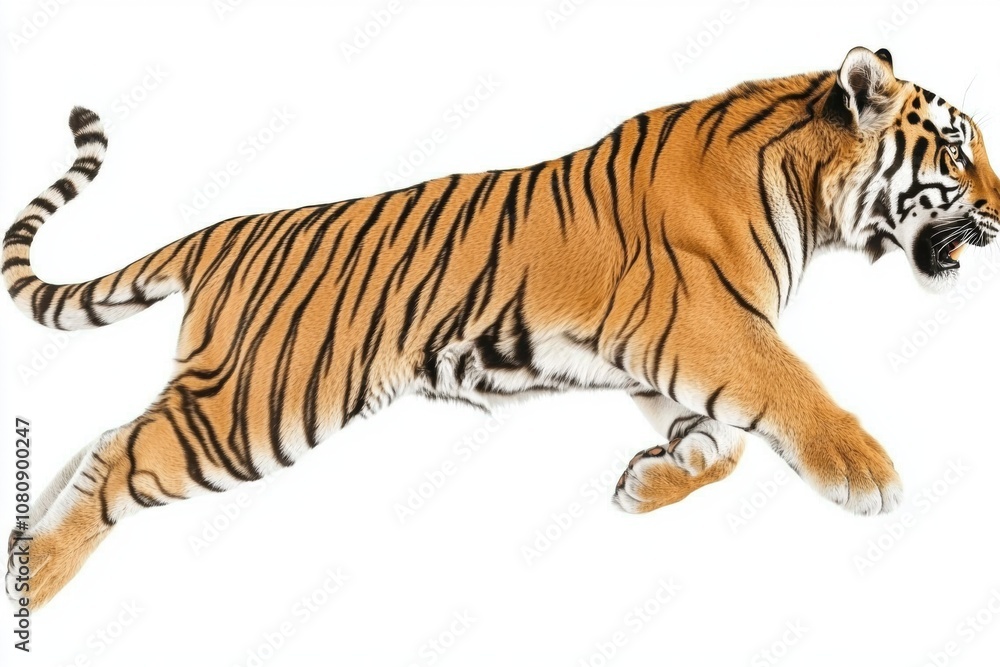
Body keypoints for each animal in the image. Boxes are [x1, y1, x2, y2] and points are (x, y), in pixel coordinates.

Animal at [5, 46, 999, 610]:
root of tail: (226, 229)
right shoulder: (713, 323)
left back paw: (22, 544)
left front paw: (647, 484)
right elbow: (793, 390)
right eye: (957, 152)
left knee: (104, 438)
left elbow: (724, 442)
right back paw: (35, 580)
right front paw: (867, 474)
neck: (806, 189)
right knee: (127, 456)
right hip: (257, 407)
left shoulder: (657, 354)